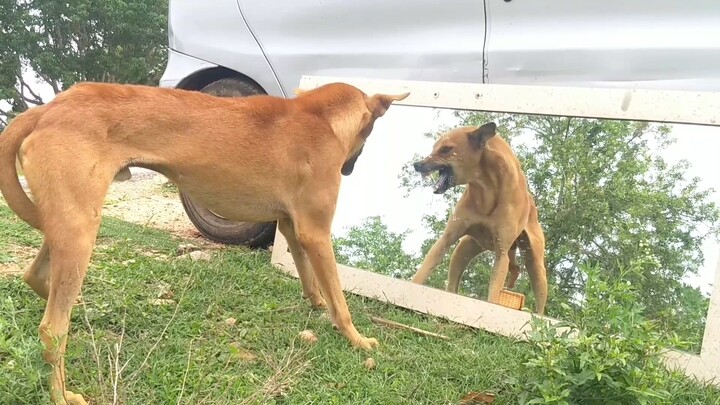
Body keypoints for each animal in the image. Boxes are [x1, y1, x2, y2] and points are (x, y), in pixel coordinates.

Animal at [0, 80, 404, 402]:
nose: (349, 169)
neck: (320, 118)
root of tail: (49, 107)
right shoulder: (315, 231)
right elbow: (340, 298)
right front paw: (356, 338)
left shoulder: (291, 225)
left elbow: (310, 278)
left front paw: (317, 303)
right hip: (80, 229)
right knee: (52, 329)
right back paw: (61, 394)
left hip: (71, 223)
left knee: (37, 278)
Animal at [410, 121, 544, 314]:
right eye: (434, 147)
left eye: (446, 149)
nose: (417, 164)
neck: (485, 189)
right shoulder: (446, 239)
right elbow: (423, 271)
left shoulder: (501, 253)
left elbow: (493, 292)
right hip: (463, 249)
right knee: (454, 285)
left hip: (535, 263)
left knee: (538, 293)